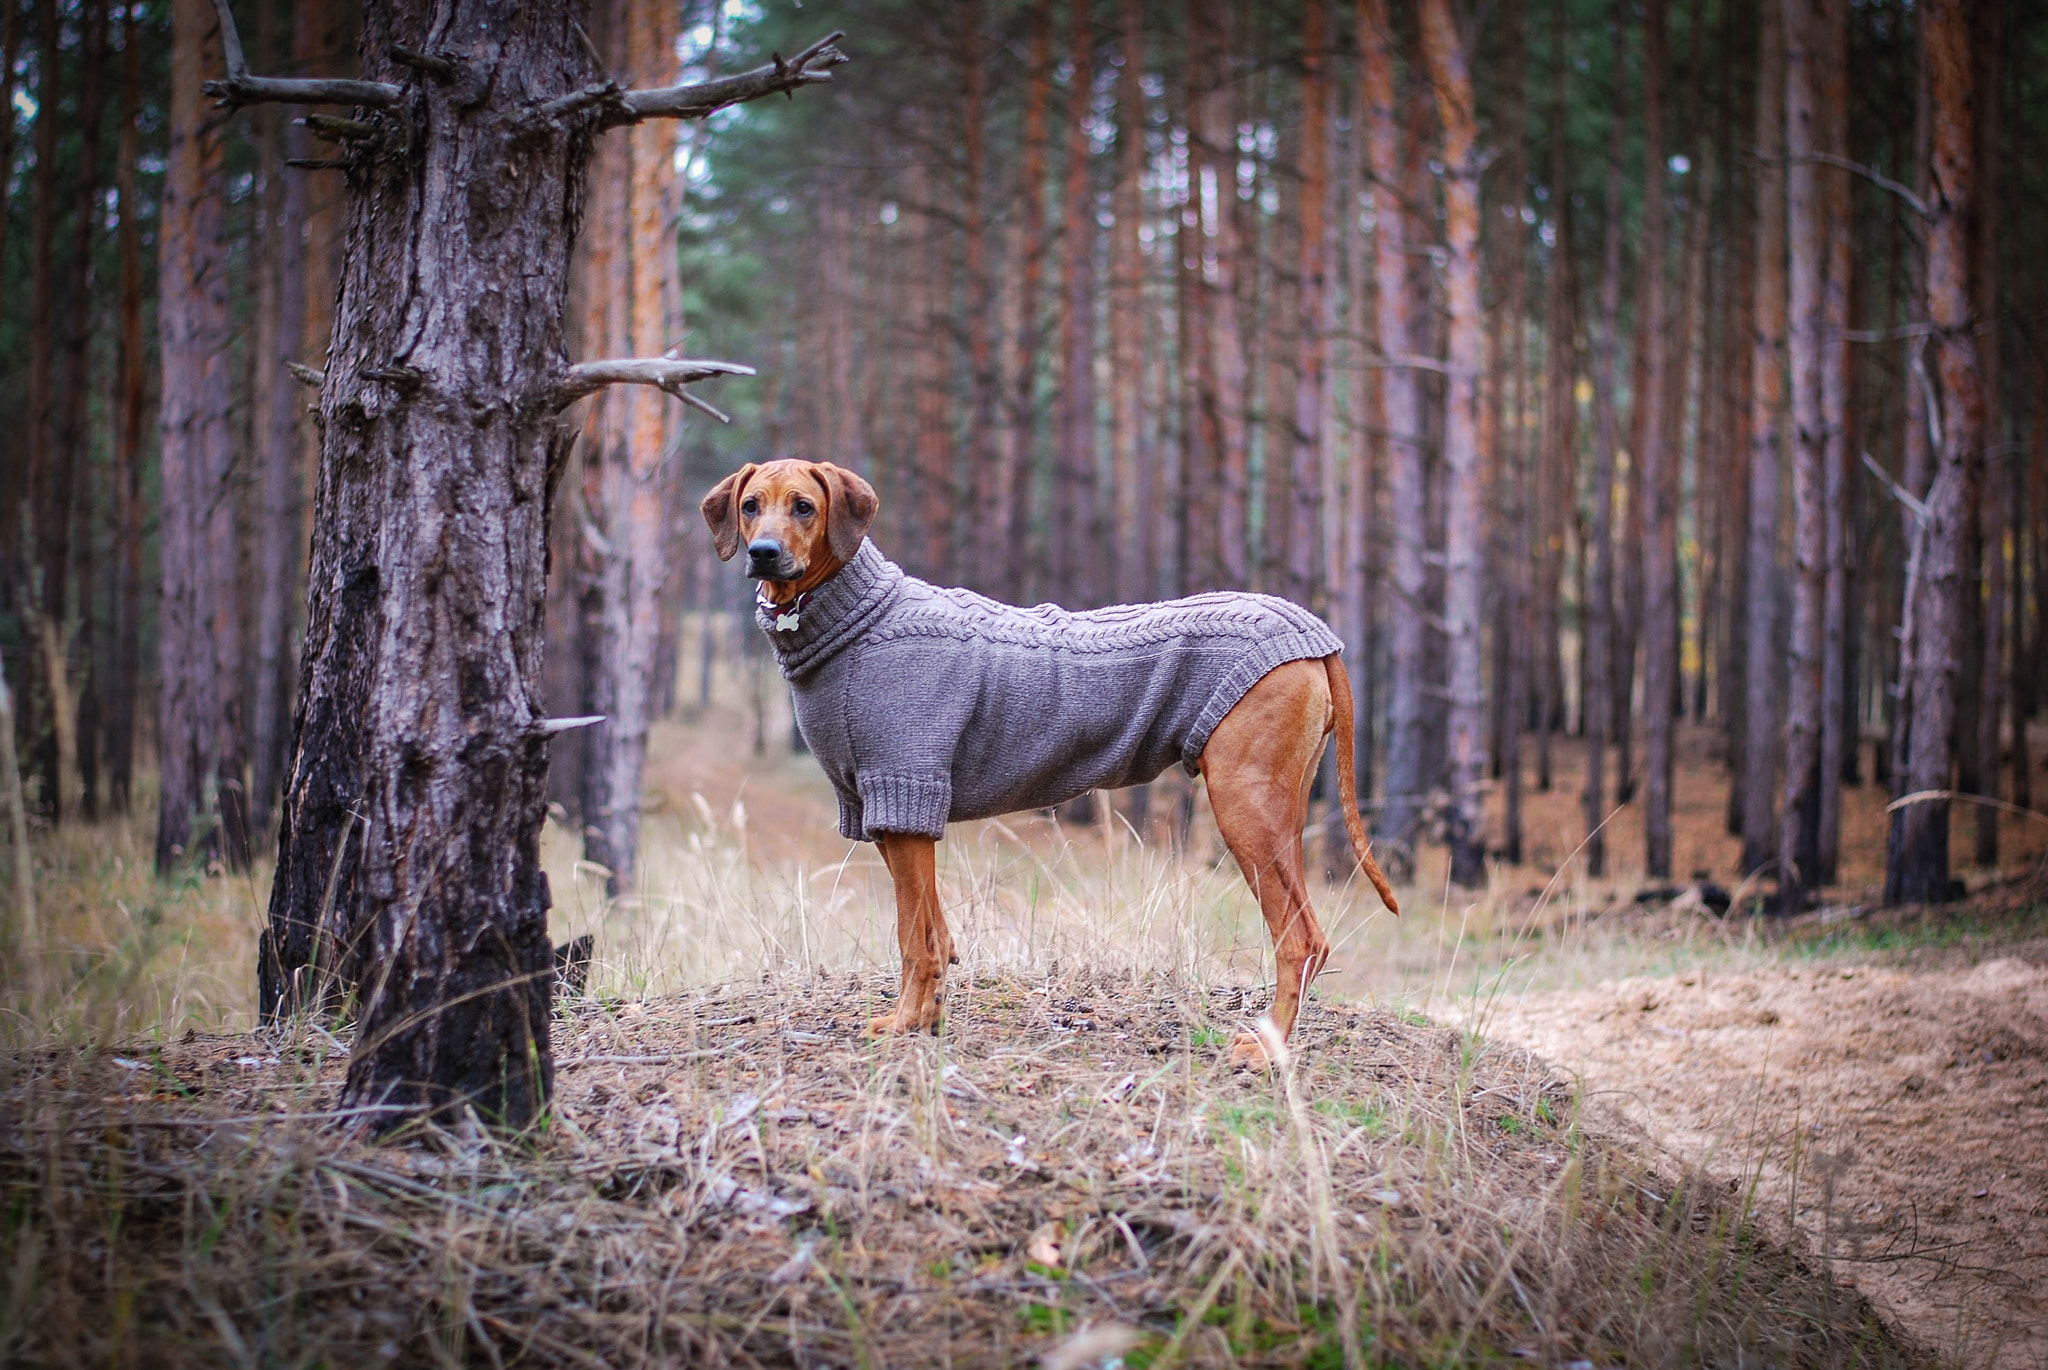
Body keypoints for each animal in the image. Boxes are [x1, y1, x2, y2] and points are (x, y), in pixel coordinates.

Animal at [700, 454, 1392, 1064]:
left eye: (805, 507)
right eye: (750, 505)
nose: (763, 552)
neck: (854, 614)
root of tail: (1313, 633)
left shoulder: (907, 796)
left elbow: (914, 938)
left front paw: (903, 1025)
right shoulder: (887, 813)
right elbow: (935, 933)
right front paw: (926, 1021)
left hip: (1244, 808)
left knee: (1299, 939)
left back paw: (1266, 1048)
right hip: (1281, 814)